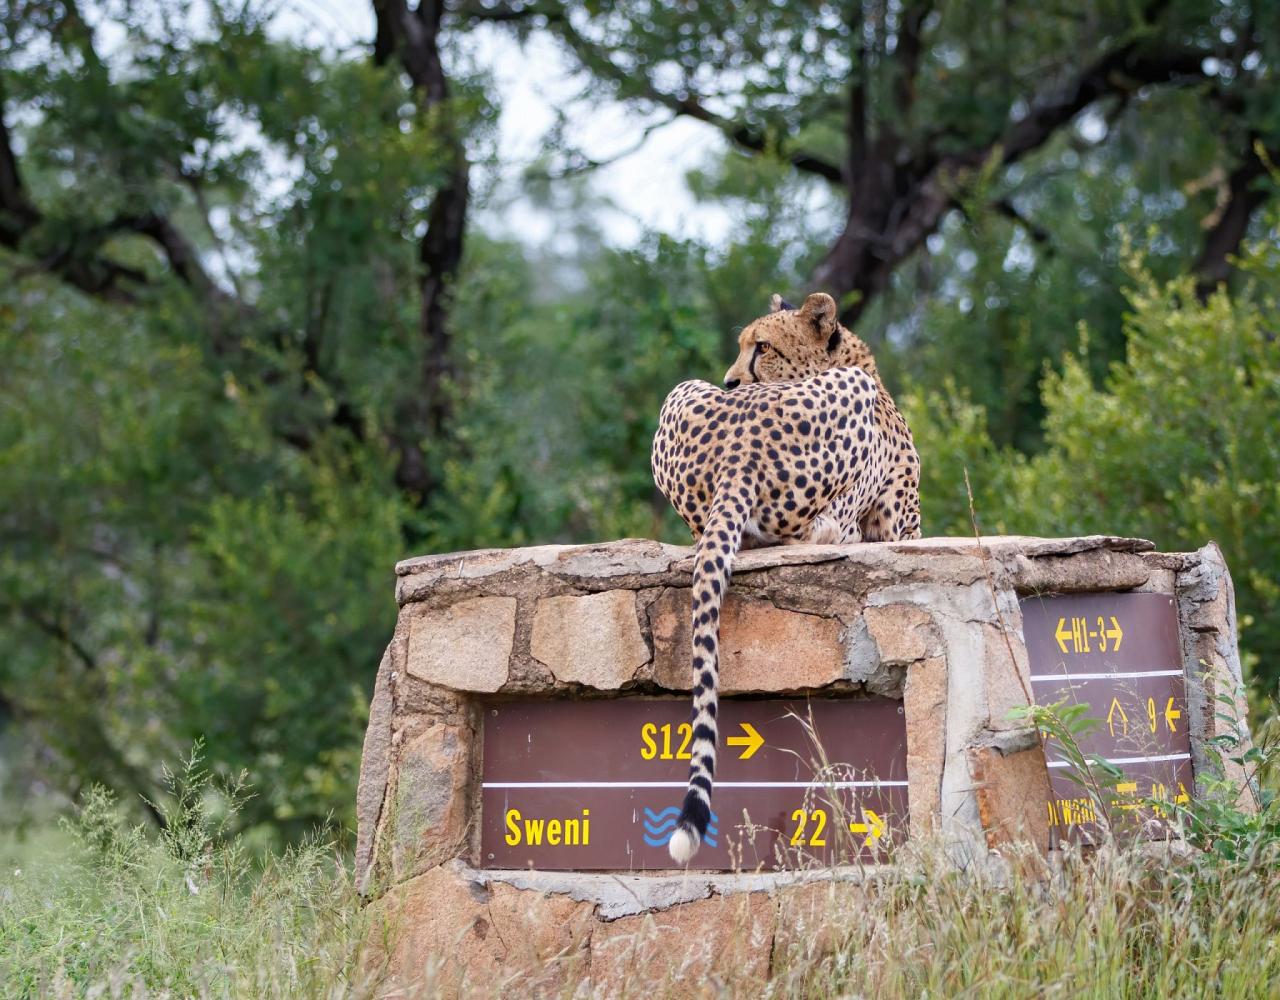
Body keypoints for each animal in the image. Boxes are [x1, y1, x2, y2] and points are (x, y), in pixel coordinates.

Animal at [650, 293, 921, 860]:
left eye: (763, 347)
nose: (730, 382)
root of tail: (738, 448)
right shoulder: (905, 525)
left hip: (680, 392)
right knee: (818, 532)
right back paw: (842, 534)